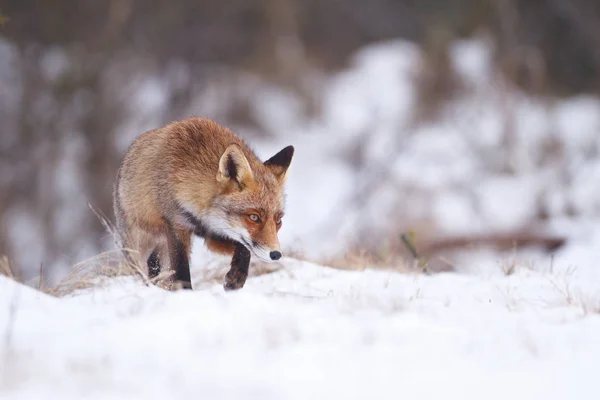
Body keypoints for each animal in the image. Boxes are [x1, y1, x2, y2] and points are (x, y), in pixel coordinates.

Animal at [113, 117, 294, 290]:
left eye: (278, 221)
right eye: (254, 217)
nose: (276, 254)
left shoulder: (213, 235)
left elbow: (244, 249)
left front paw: (236, 278)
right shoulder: (176, 225)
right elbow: (182, 270)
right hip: (139, 247)